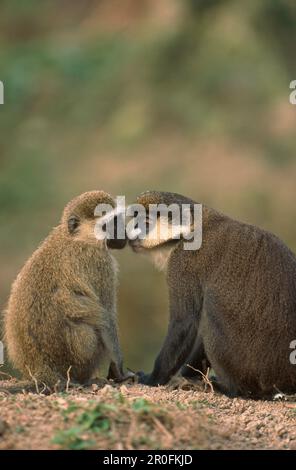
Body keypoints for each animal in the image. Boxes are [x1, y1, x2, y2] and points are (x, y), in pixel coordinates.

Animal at [2, 191, 127, 392]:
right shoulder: (102, 263)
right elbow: (107, 318)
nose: (122, 233)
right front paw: (119, 369)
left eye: (118, 220)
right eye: (108, 224)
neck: (76, 238)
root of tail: (41, 372)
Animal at [129, 190, 296, 396]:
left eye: (146, 223)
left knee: (212, 307)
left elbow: (184, 322)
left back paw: (229, 388)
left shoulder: (182, 262)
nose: (131, 233)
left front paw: (153, 379)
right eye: (135, 219)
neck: (191, 227)